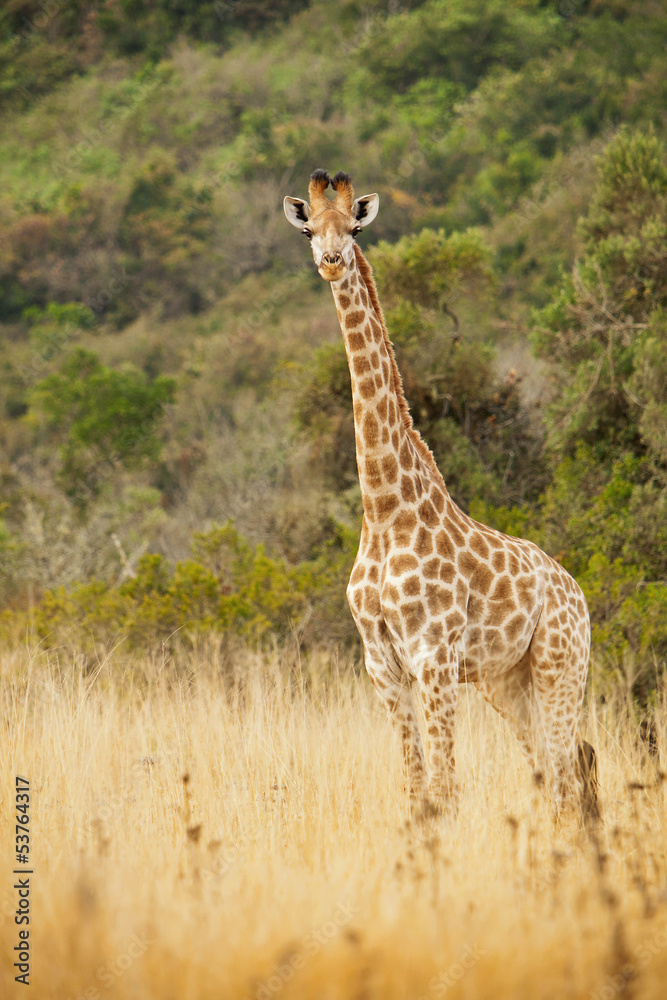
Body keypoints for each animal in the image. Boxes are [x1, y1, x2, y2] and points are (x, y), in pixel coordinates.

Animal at [284, 169, 598, 820]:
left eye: (354, 228)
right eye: (309, 230)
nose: (331, 262)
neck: (383, 511)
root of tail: (579, 595)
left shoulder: (434, 657)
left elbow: (446, 790)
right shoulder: (382, 664)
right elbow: (416, 790)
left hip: (561, 666)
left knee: (565, 772)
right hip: (507, 681)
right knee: (554, 768)